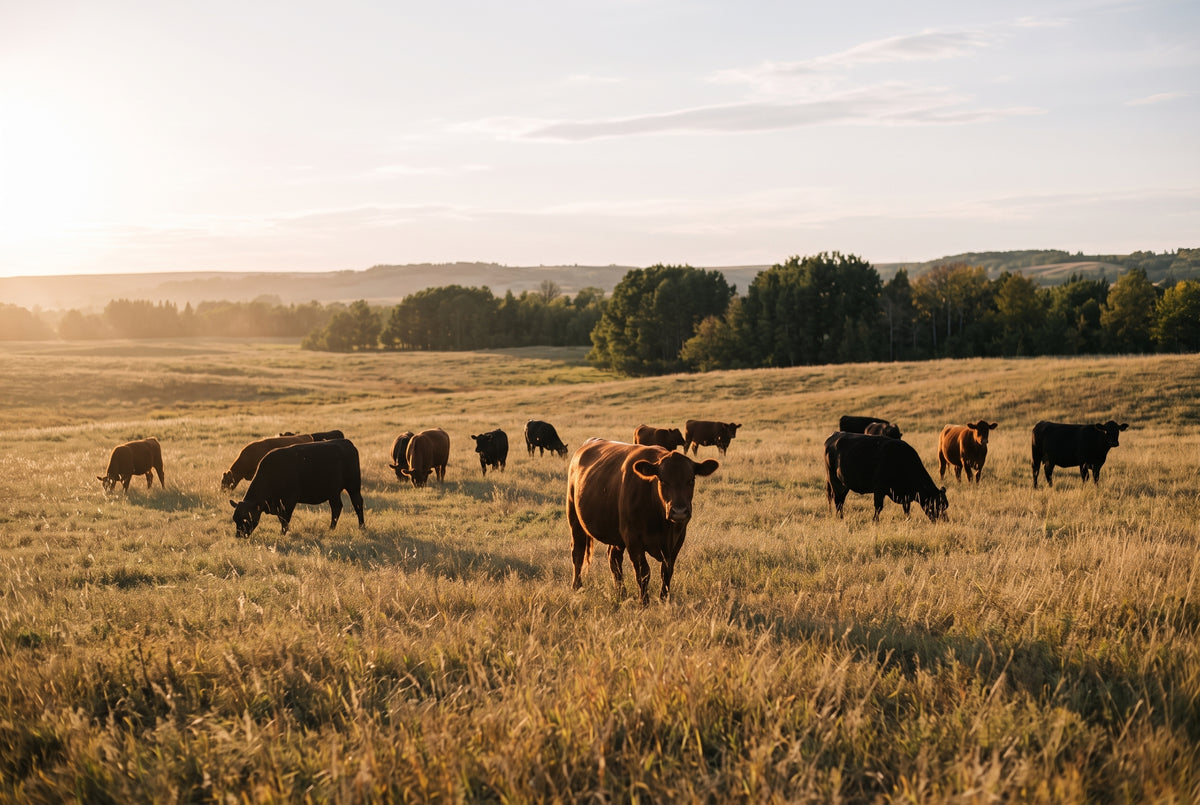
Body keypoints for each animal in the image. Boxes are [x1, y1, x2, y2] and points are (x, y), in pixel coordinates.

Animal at [229, 438, 364, 538]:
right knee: (336, 507)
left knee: (357, 503)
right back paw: (331, 528)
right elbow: (282, 519)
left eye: (246, 519)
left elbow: (285, 519)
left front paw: (283, 534)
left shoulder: (289, 501)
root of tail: (346, 442)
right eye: (235, 519)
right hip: (333, 492)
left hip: (353, 486)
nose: (239, 535)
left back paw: (362, 526)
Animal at [567, 438, 719, 605]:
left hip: (617, 534)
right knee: (578, 552)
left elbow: (666, 571)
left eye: (691, 479)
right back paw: (577, 587)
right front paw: (644, 602)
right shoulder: (633, 539)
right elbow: (643, 572)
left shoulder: (677, 539)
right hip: (574, 518)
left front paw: (664, 599)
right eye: (662, 480)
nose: (679, 511)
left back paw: (621, 593)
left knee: (614, 558)